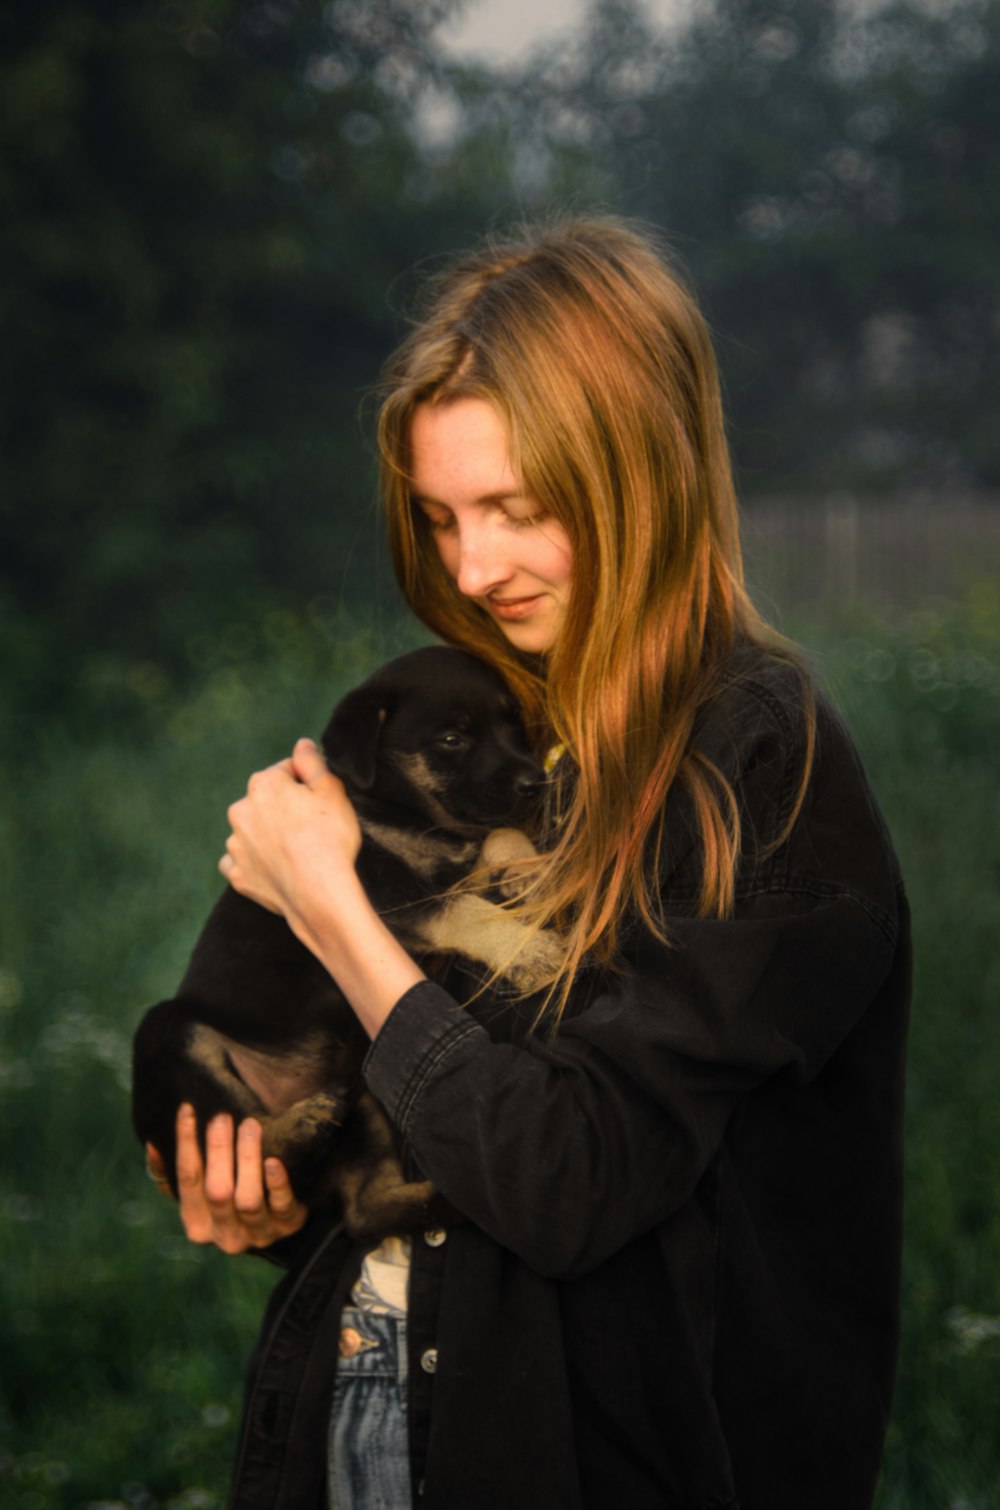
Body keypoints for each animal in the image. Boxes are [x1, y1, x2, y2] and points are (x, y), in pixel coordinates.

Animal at [131, 649, 564, 1238]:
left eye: (513, 725)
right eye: (452, 739)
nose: (534, 783)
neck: (405, 816)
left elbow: (494, 837)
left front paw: (528, 868)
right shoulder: (387, 893)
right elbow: (466, 911)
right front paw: (531, 950)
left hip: (366, 1092)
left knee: (363, 1210)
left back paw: (443, 1200)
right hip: (170, 1042)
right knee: (240, 1139)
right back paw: (296, 1127)